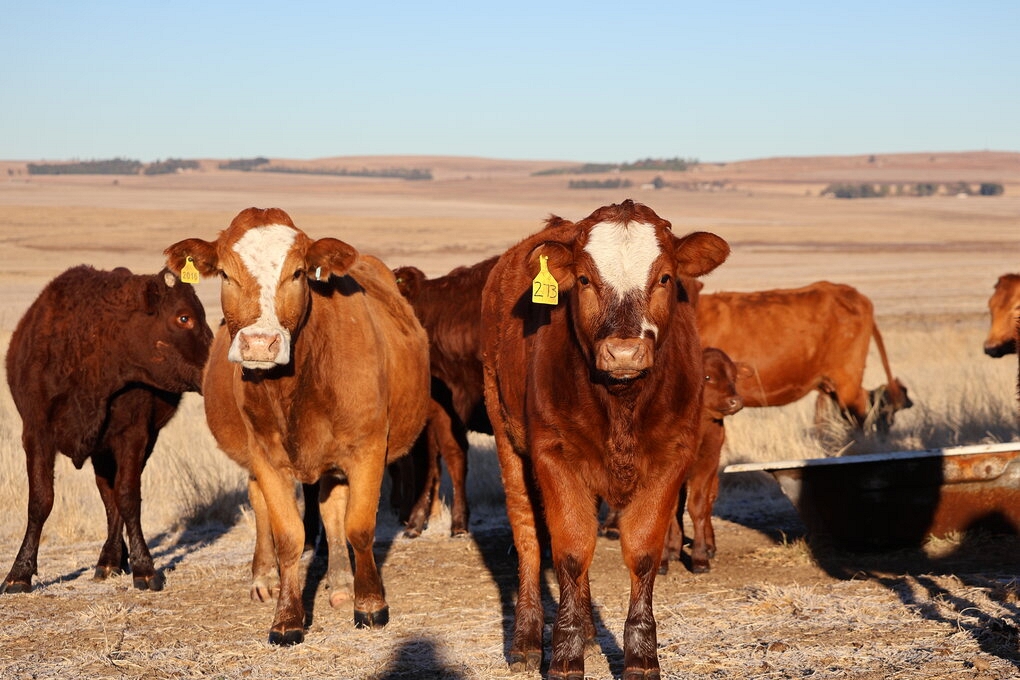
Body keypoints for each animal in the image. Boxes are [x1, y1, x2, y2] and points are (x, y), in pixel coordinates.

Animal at [2, 265, 212, 594]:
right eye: (183, 317)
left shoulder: (134, 435)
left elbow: (128, 497)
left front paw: (144, 568)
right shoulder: (35, 433)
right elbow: (40, 500)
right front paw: (18, 573)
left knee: (114, 497)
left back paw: (110, 559)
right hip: (100, 451)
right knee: (106, 494)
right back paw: (111, 559)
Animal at [164, 207, 430, 645]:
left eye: (298, 273)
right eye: (226, 274)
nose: (259, 343)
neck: (293, 385)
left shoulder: (368, 448)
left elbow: (358, 526)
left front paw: (370, 603)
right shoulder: (266, 456)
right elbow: (288, 535)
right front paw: (287, 618)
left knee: (332, 507)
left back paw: (341, 583)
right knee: (260, 503)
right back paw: (263, 578)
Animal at [481, 199, 729, 677]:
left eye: (664, 277)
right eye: (583, 280)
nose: (624, 352)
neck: (622, 403)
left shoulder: (672, 456)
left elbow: (643, 552)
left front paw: (641, 655)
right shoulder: (553, 455)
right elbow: (570, 551)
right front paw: (564, 654)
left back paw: (592, 634)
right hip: (507, 438)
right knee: (528, 535)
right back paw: (526, 641)